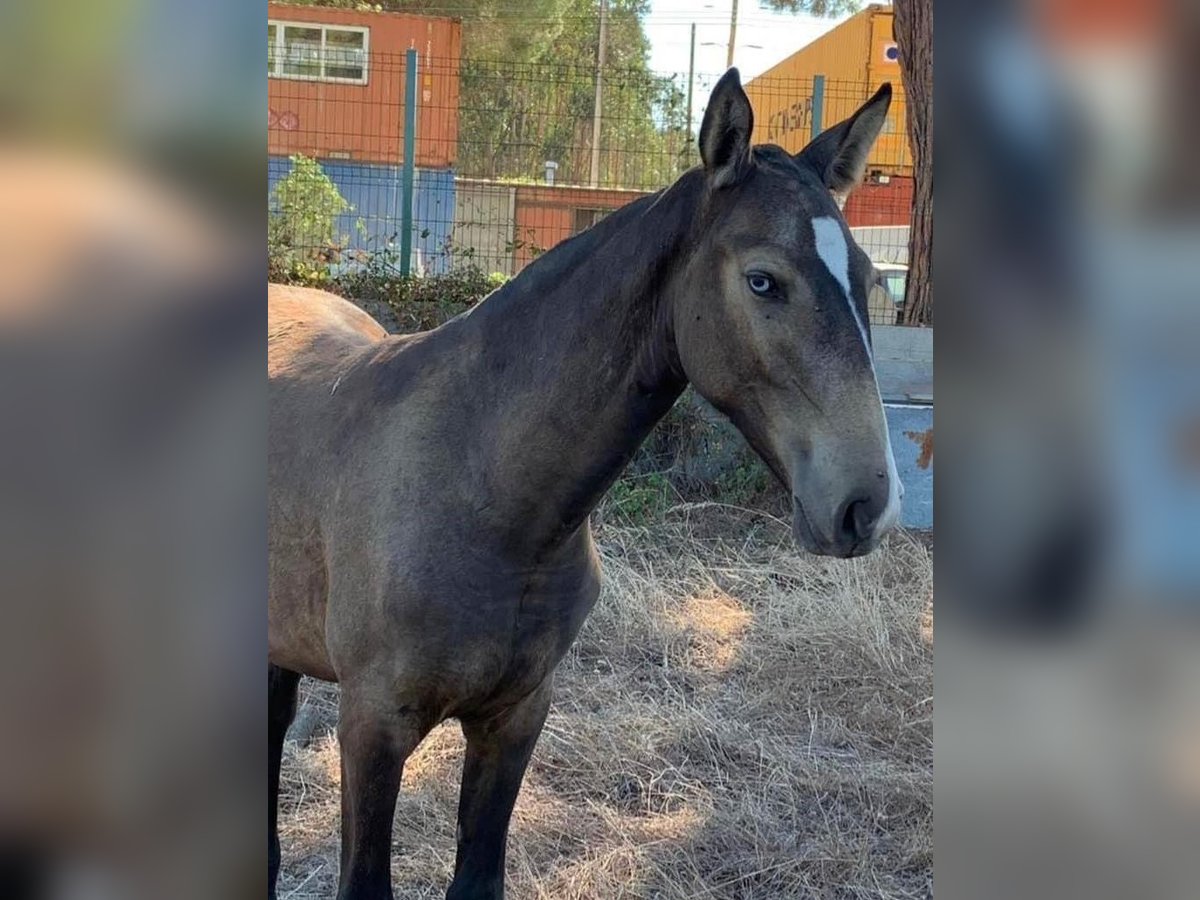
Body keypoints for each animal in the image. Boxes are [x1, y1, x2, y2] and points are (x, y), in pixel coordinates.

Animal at [267, 72, 897, 900]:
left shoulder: (516, 716)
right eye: (764, 280)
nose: (865, 505)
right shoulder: (372, 726)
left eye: (866, 280)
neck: (486, 490)